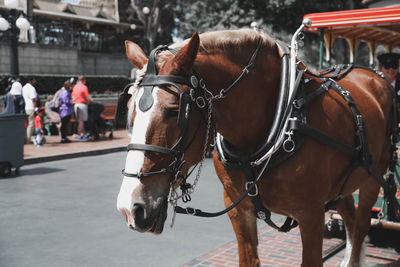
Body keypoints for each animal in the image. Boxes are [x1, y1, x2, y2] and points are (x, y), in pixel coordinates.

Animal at [115, 28, 394, 266]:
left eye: (174, 111)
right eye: (129, 109)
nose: (130, 208)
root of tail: (374, 77)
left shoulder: (312, 214)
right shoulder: (239, 209)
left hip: (373, 178)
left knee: (361, 224)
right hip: (344, 184)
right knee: (350, 217)